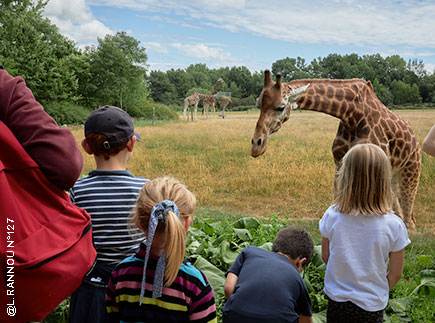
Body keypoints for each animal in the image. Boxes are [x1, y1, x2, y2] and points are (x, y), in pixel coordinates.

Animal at [252, 69, 422, 229]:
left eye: (281, 107)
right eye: (258, 104)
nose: (256, 146)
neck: (352, 115)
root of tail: (414, 138)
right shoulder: (339, 161)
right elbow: (337, 197)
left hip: (412, 167)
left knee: (408, 208)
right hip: (394, 171)